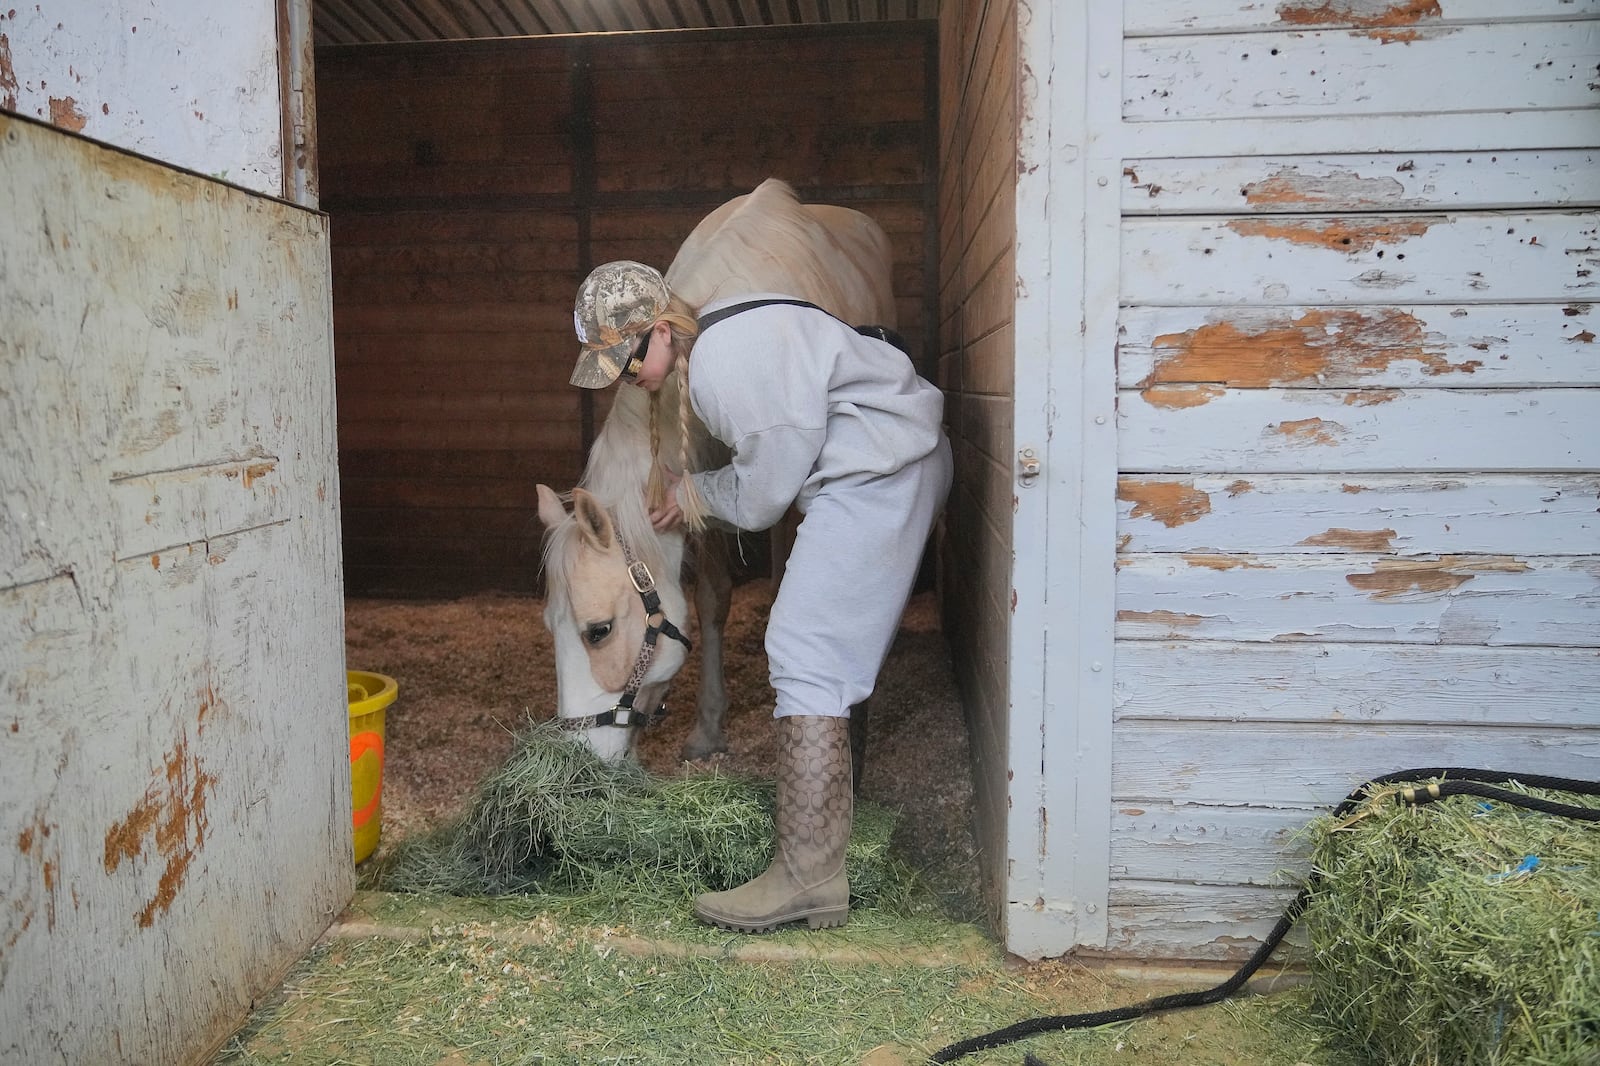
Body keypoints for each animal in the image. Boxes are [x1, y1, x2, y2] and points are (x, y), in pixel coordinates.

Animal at [537, 178, 902, 758]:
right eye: (550, 627)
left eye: (598, 630)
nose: (578, 758)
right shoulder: (701, 504)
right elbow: (711, 603)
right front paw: (709, 726)